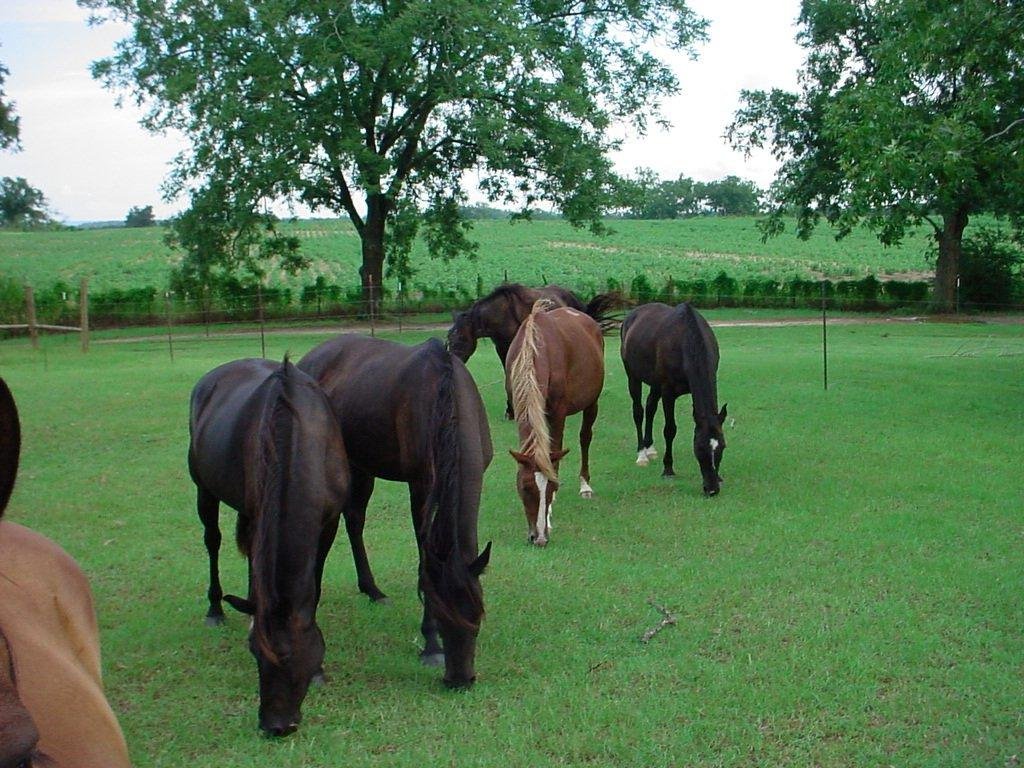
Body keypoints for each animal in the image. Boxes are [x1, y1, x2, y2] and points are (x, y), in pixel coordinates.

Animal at [188, 357, 349, 736]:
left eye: (293, 657)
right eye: (254, 653)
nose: (275, 725)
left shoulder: (330, 521)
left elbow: (314, 584)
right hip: (205, 490)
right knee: (213, 541)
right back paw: (215, 609)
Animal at [298, 336, 493, 688]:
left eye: (477, 616)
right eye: (440, 613)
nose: (459, 679)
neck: (447, 400)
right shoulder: (420, 486)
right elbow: (423, 558)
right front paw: (430, 644)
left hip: (362, 465)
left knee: (355, 519)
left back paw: (373, 590)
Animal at [447, 283, 618, 418]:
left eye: (460, 338)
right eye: (449, 338)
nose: (454, 363)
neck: (503, 314)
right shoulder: (502, 348)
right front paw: (510, 410)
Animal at [505, 300, 605, 546]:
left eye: (552, 486)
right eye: (525, 487)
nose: (539, 538)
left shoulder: (557, 412)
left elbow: (555, 455)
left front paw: (549, 516)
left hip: (592, 402)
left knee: (585, 437)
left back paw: (585, 485)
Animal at [619, 302, 727, 495]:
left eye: (721, 447)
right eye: (699, 448)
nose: (712, 489)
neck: (686, 339)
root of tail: (631, 316)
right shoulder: (668, 392)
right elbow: (670, 430)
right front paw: (668, 469)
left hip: (654, 383)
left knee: (650, 407)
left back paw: (650, 448)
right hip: (633, 376)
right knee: (638, 411)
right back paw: (642, 454)